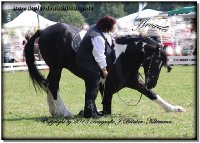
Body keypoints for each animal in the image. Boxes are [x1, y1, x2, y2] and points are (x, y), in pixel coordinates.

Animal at [25, 22, 186, 118]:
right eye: (156, 61)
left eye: (163, 65)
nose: (151, 83)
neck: (123, 57)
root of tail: (43, 30)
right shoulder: (107, 90)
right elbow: (107, 110)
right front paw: (91, 113)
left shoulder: (136, 83)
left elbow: (152, 95)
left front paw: (174, 109)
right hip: (57, 67)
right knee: (53, 85)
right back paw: (65, 112)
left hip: (55, 68)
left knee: (48, 84)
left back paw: (55, 112)